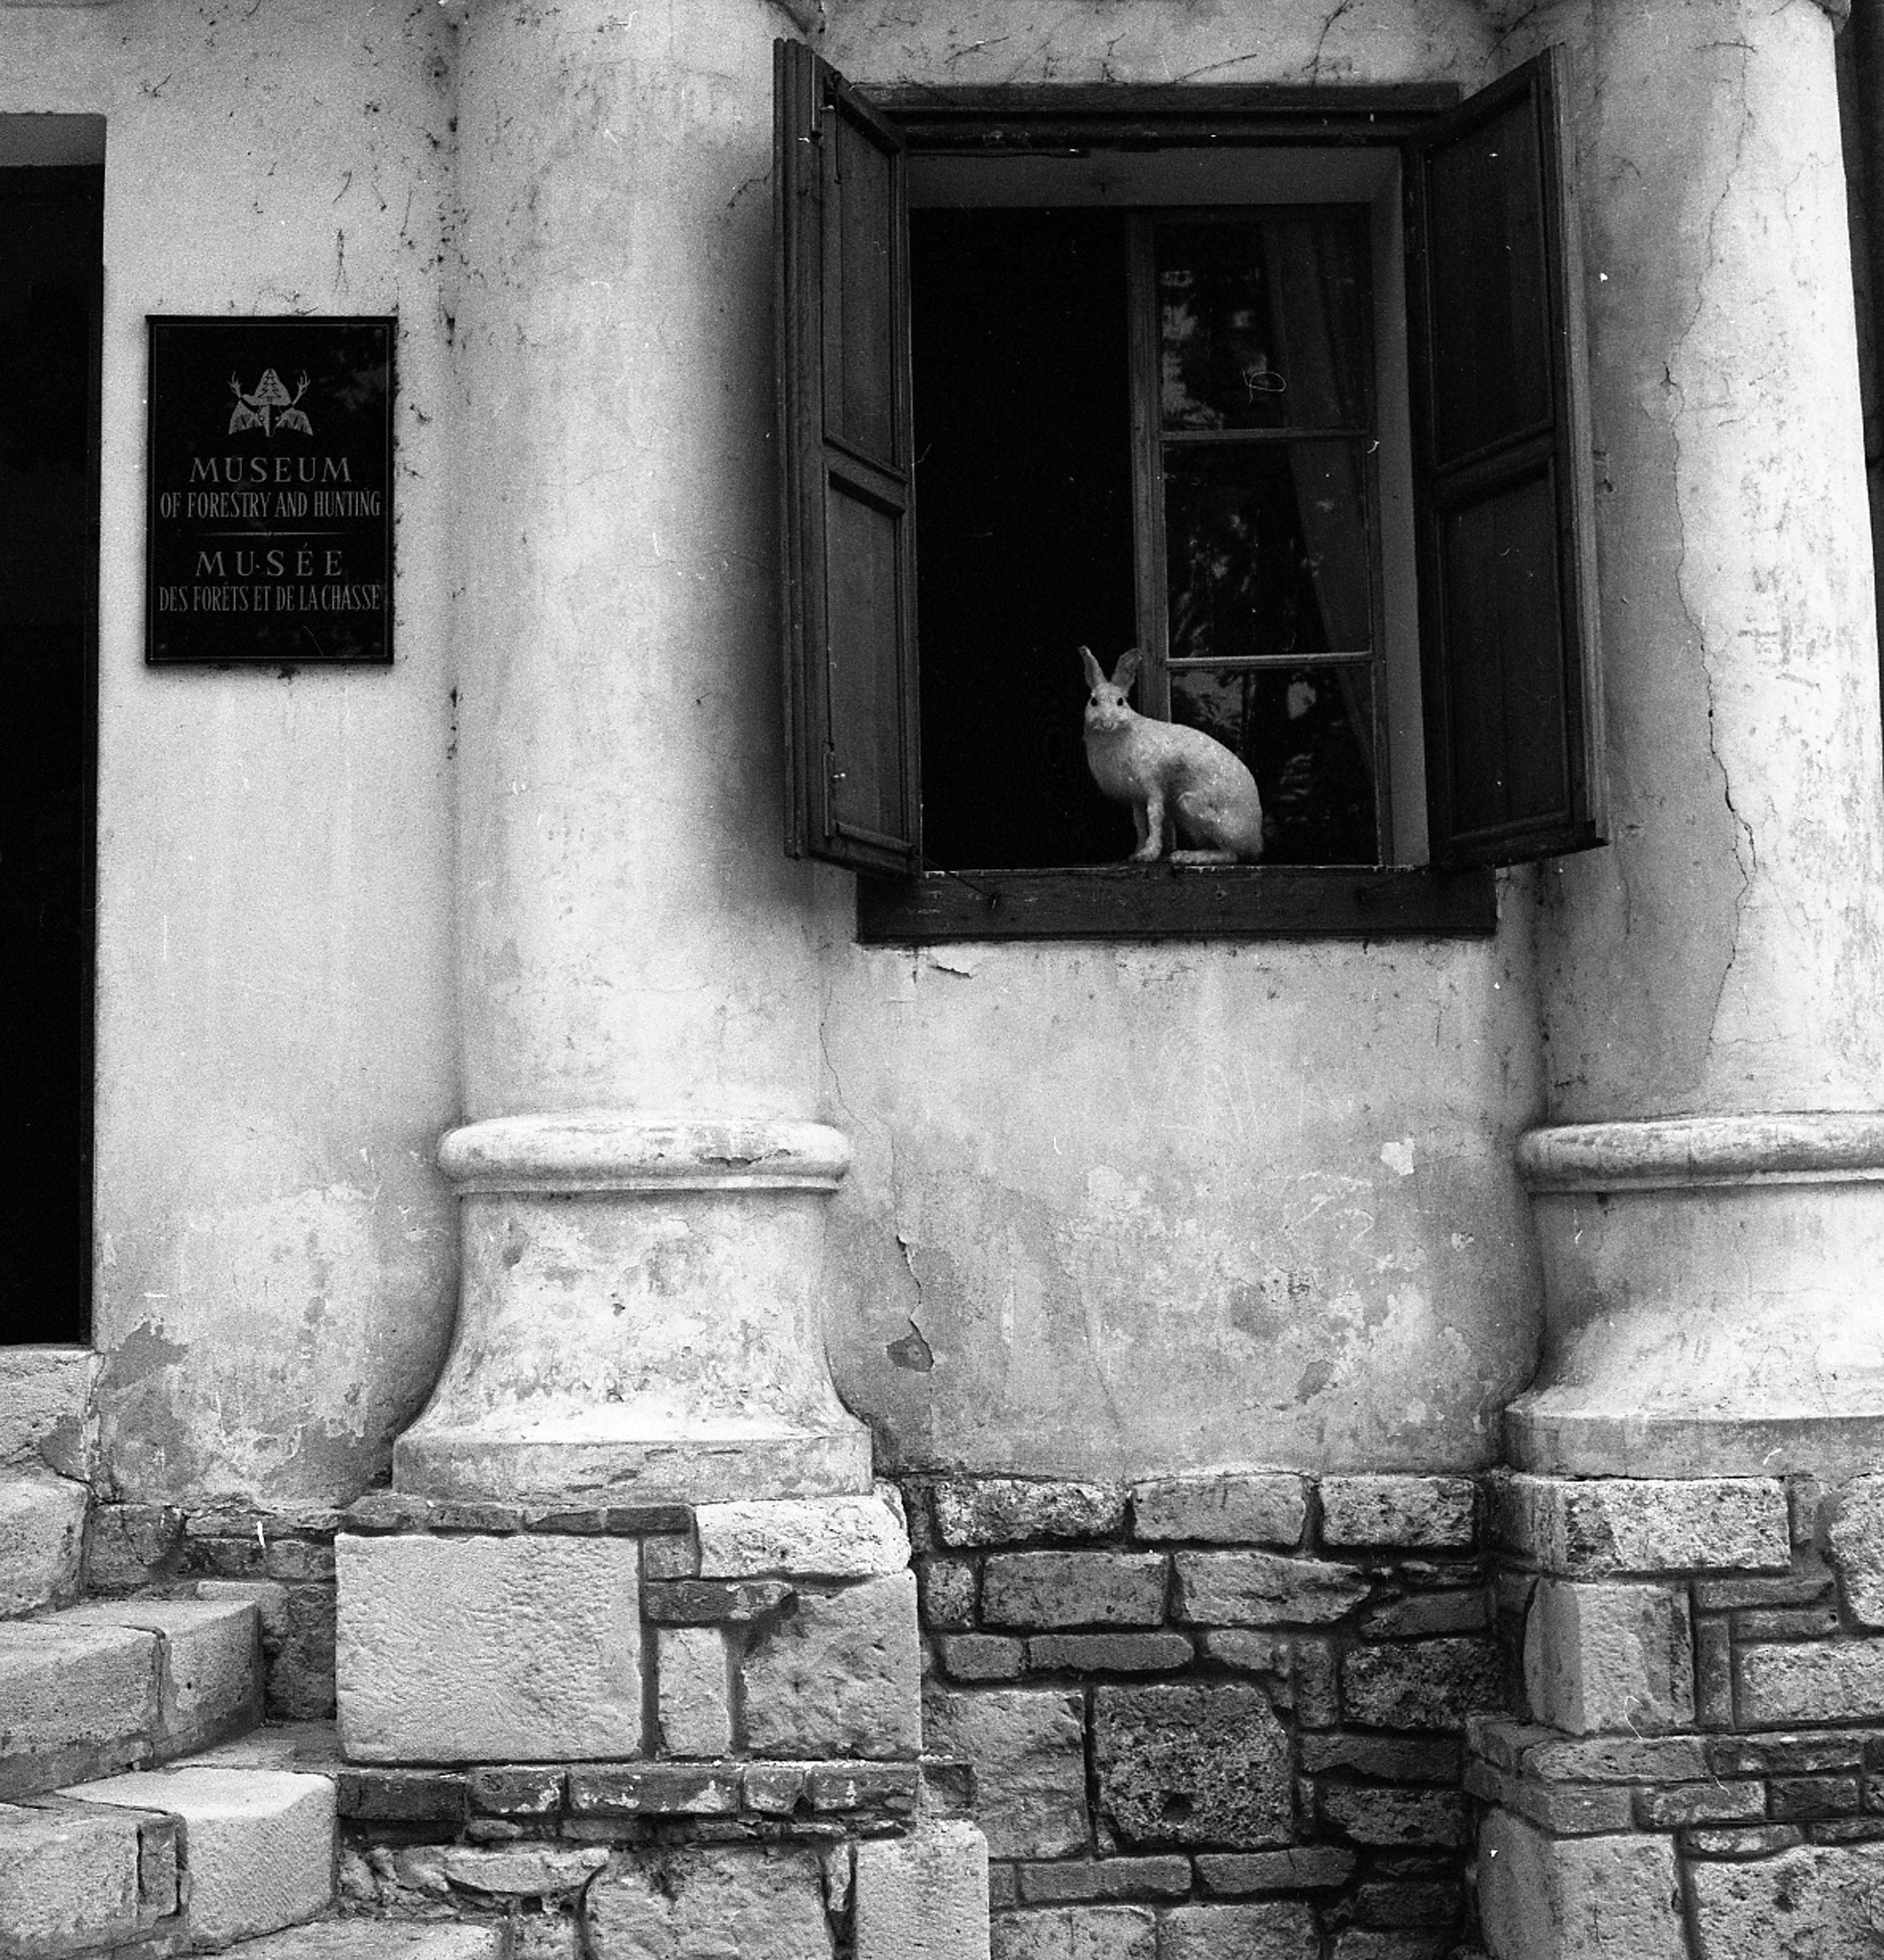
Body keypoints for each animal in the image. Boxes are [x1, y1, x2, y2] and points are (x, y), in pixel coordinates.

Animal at [1074, 647, 1263, 862]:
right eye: (1094, 701)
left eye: (1120, 702)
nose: (1107, 724)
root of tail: (1256, 840)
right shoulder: (1136, 797)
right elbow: (1139, 823)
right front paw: (1137, 853)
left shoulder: (1153, 788)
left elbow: (1154, 817)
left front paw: (1149, 853)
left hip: (1193, 806)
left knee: (1230, 855)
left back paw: (1187, 857)